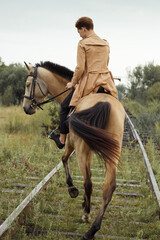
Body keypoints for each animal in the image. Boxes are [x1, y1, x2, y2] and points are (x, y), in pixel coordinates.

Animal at [22, 61, 125, 238]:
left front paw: (73, 190)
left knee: (88, 182)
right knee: (108, 187)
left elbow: (64, 159)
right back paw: (93, 227)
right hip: (111, 151)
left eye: (28, 84)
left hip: (81, 148)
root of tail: (104, 102)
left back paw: (87, 216)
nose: (26, 107)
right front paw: (84, 200)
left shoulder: (72, 144)